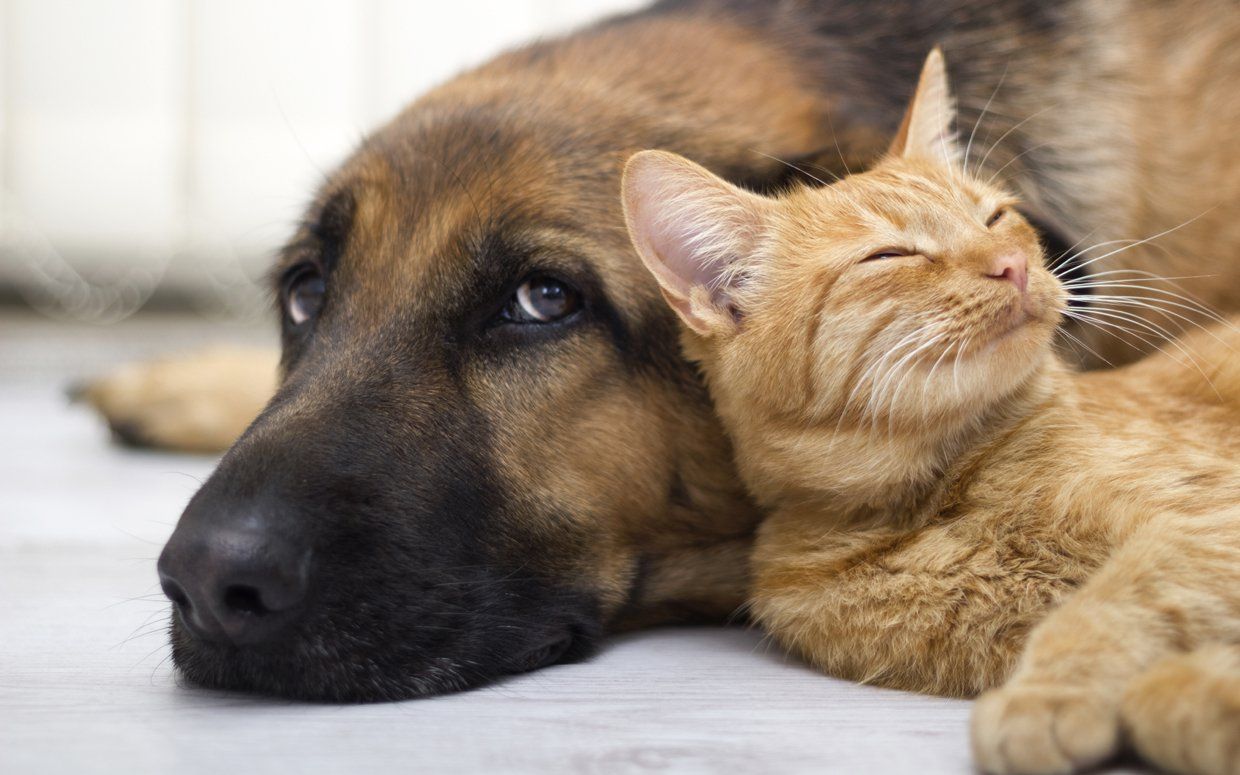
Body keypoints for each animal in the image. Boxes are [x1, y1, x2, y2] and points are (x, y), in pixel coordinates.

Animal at [624, 49, 1240, 773]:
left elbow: (1115, 601)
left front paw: (1046, 695)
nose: (1011, 265)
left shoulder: (1208, 519)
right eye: (893, 254)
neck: (938, 499)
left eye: (996, 218)